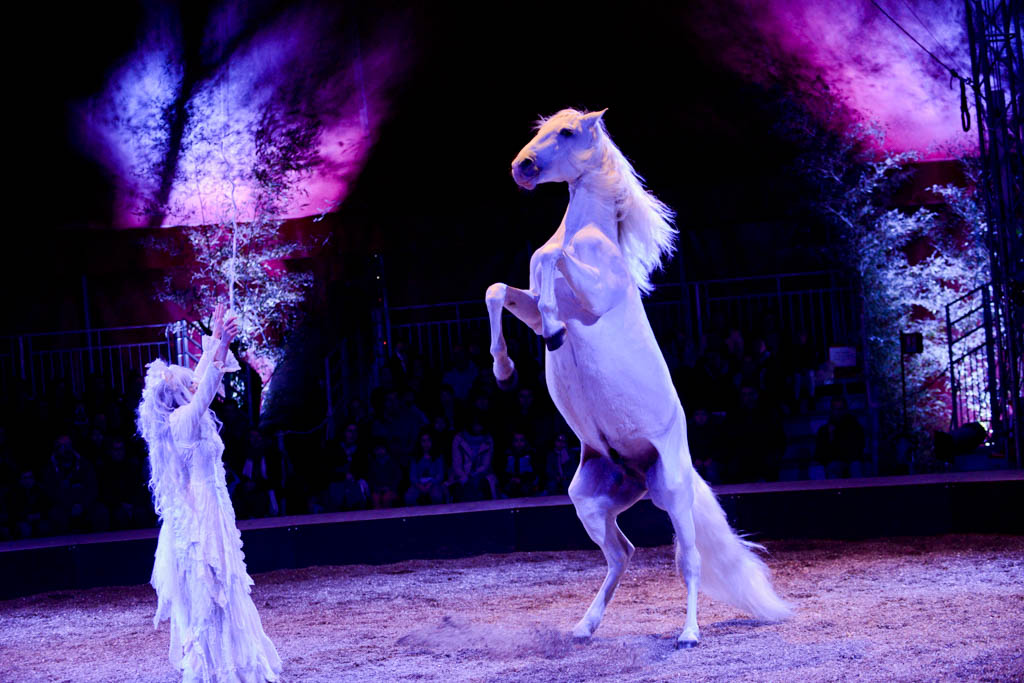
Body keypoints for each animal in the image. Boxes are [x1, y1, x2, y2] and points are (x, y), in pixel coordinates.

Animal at [487, 107, 790, 647]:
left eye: (567, 132)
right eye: (540, 129)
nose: (522, 168)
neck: (587, 235)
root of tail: (642, 472)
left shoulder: (590, 300)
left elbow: (546, 259)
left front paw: (554, 335)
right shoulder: (529, 303)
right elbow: (501, 288)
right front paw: (504, 370)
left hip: (673, 494)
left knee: (689, 561)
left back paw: (688, 635)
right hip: (590, 501)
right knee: (621, 554)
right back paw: (584, 627)